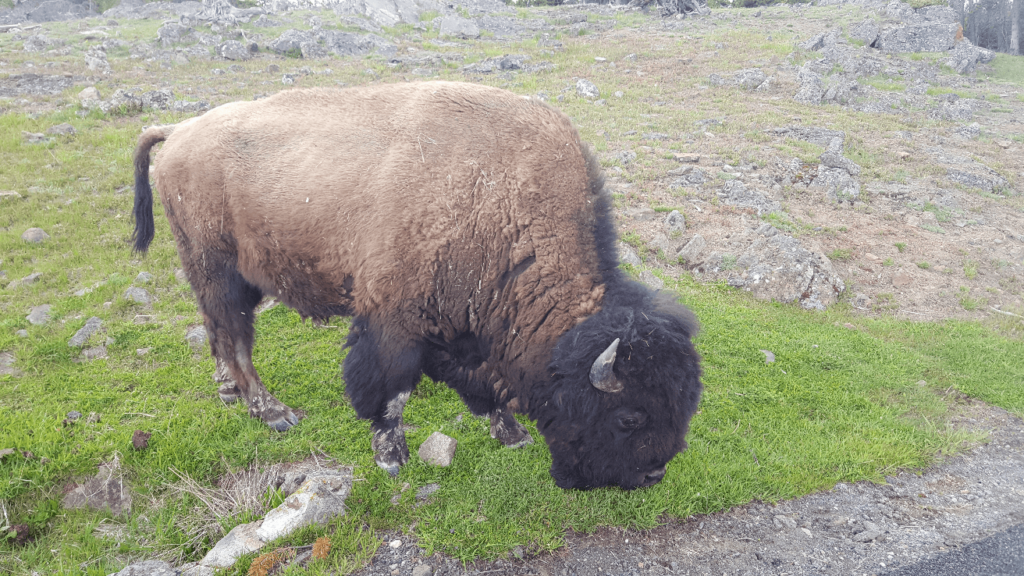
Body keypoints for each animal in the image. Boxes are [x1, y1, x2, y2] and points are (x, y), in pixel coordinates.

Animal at [131, 81, 703, 490]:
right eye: (629, 417)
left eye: (685, 404)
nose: (652, 474)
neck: (501, 203)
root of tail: (179, 131)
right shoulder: (394, 322)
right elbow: (390, 393)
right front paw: (392, 459)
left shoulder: (465, 328)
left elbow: (482, 386)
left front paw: (511, 434)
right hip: (221, 273)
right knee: (236, 338)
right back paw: (273, 413)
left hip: (216, 275)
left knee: (216, 331)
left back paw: (228, 391)